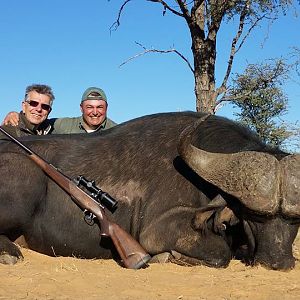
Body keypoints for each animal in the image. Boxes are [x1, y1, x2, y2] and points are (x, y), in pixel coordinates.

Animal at [0, 112, 298, 270]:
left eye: (294, 221)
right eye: (253, 217)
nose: (278, 263)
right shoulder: (158, 230)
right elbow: (221, 254)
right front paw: (167, 257)